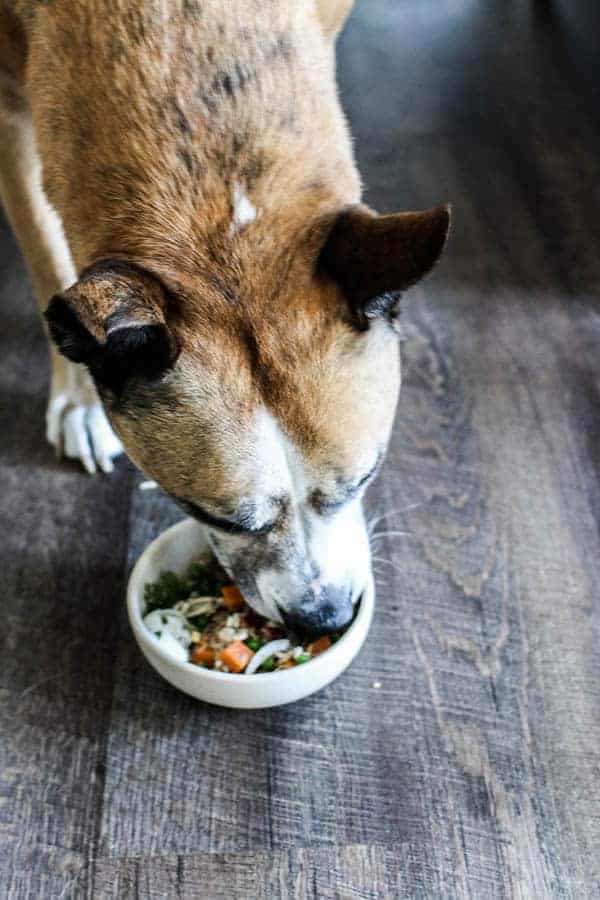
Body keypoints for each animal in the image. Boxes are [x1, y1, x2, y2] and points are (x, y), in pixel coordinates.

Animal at [0, 0, 448, 632]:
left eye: (364, 479)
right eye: (217, 517)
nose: (324, 619)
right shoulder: (10, 111)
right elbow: (44, 249)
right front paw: (80, 400)